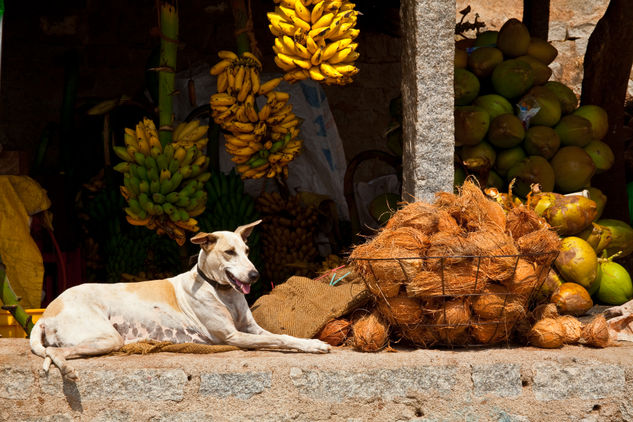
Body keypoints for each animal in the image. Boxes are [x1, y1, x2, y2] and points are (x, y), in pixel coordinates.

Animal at [30, 221, 330, 380]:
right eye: (229, 252)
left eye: (246, 250)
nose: (256, 275)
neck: (221, 290)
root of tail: (46, 313)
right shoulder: (234, 336)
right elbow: (280, 340)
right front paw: (312, 346)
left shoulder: (251, 328)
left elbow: (285, 335)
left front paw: (311, 342)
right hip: (106, 337)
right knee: (56, 353)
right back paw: (67, 371)